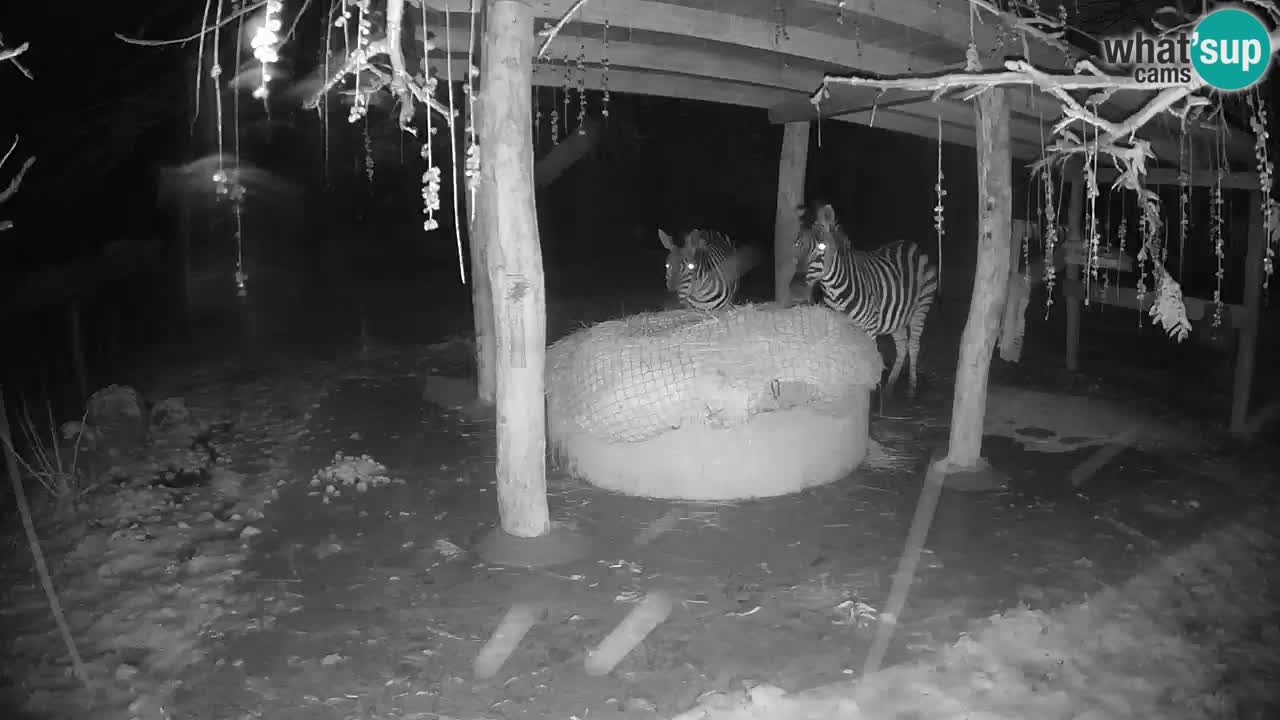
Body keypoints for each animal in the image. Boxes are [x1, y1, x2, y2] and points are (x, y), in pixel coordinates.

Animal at [793, 202, 936, 397]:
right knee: (902, 347)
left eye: (822, 247)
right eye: (796, 245)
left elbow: (867, 362)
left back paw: (911, 388)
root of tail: (910, 244)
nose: (796, 289)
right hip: (896, 316)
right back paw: (890, 386)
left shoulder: (869, 328)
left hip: (922, 306)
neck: (834, 291)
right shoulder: (837, 326)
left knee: (914, 346)